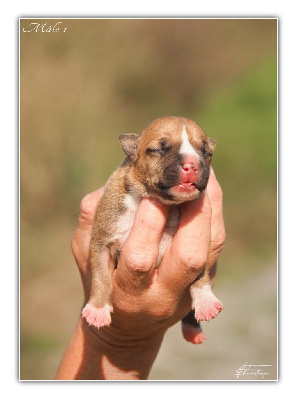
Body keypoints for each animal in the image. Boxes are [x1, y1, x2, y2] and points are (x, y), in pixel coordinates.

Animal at [82, 115, 222, 344]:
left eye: (206, 153)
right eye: (159, 149)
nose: (192, 165)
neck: (167, 203)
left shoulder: (203, 247)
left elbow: (201, 275)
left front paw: (205, 301)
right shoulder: (102, 240)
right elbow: (101, 276)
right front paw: (97, 309)